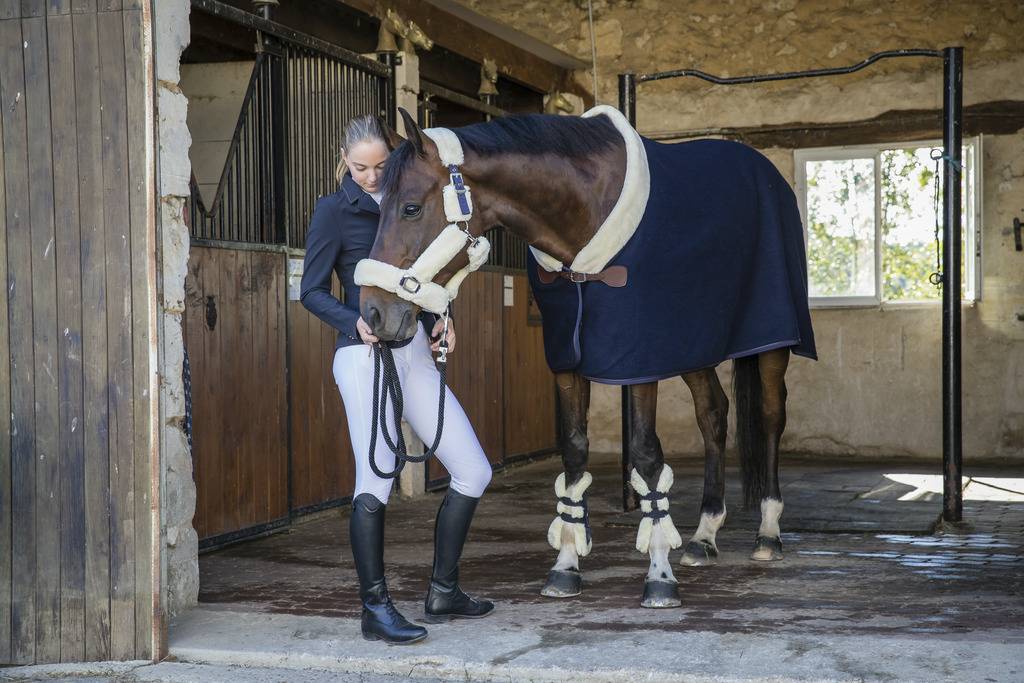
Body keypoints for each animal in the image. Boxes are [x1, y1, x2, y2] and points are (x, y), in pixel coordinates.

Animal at [358, 107, 815, 610]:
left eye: (411, 207)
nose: (373, 314)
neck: (582, 217)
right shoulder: (567, 360)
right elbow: (575, 452)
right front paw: (566, 564)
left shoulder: (641, 360)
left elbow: (646, 455)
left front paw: (659, 573)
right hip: (695, 345)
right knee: (713, 415)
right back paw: (705, 534)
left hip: (771, 344)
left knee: (770, 417)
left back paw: (768, 531)